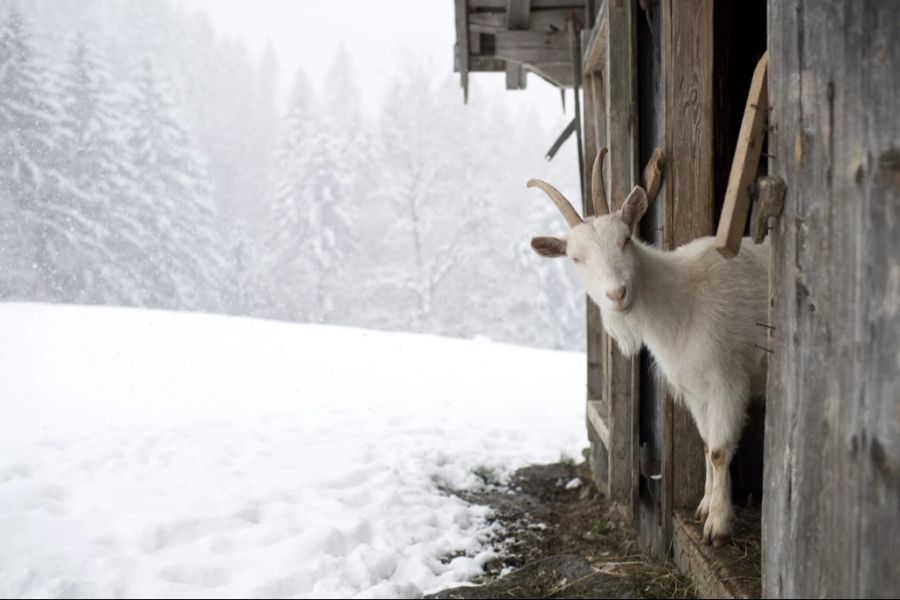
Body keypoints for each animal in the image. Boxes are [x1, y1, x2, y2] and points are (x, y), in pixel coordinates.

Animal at [528, 150, 768, 544]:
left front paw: (718, 525)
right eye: (576, 259)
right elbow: (706, 444)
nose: (617, 294)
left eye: (626, 238)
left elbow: (719, 450)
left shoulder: (728, 379)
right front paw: (704, 507)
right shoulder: (695, 387)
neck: (681, 297)